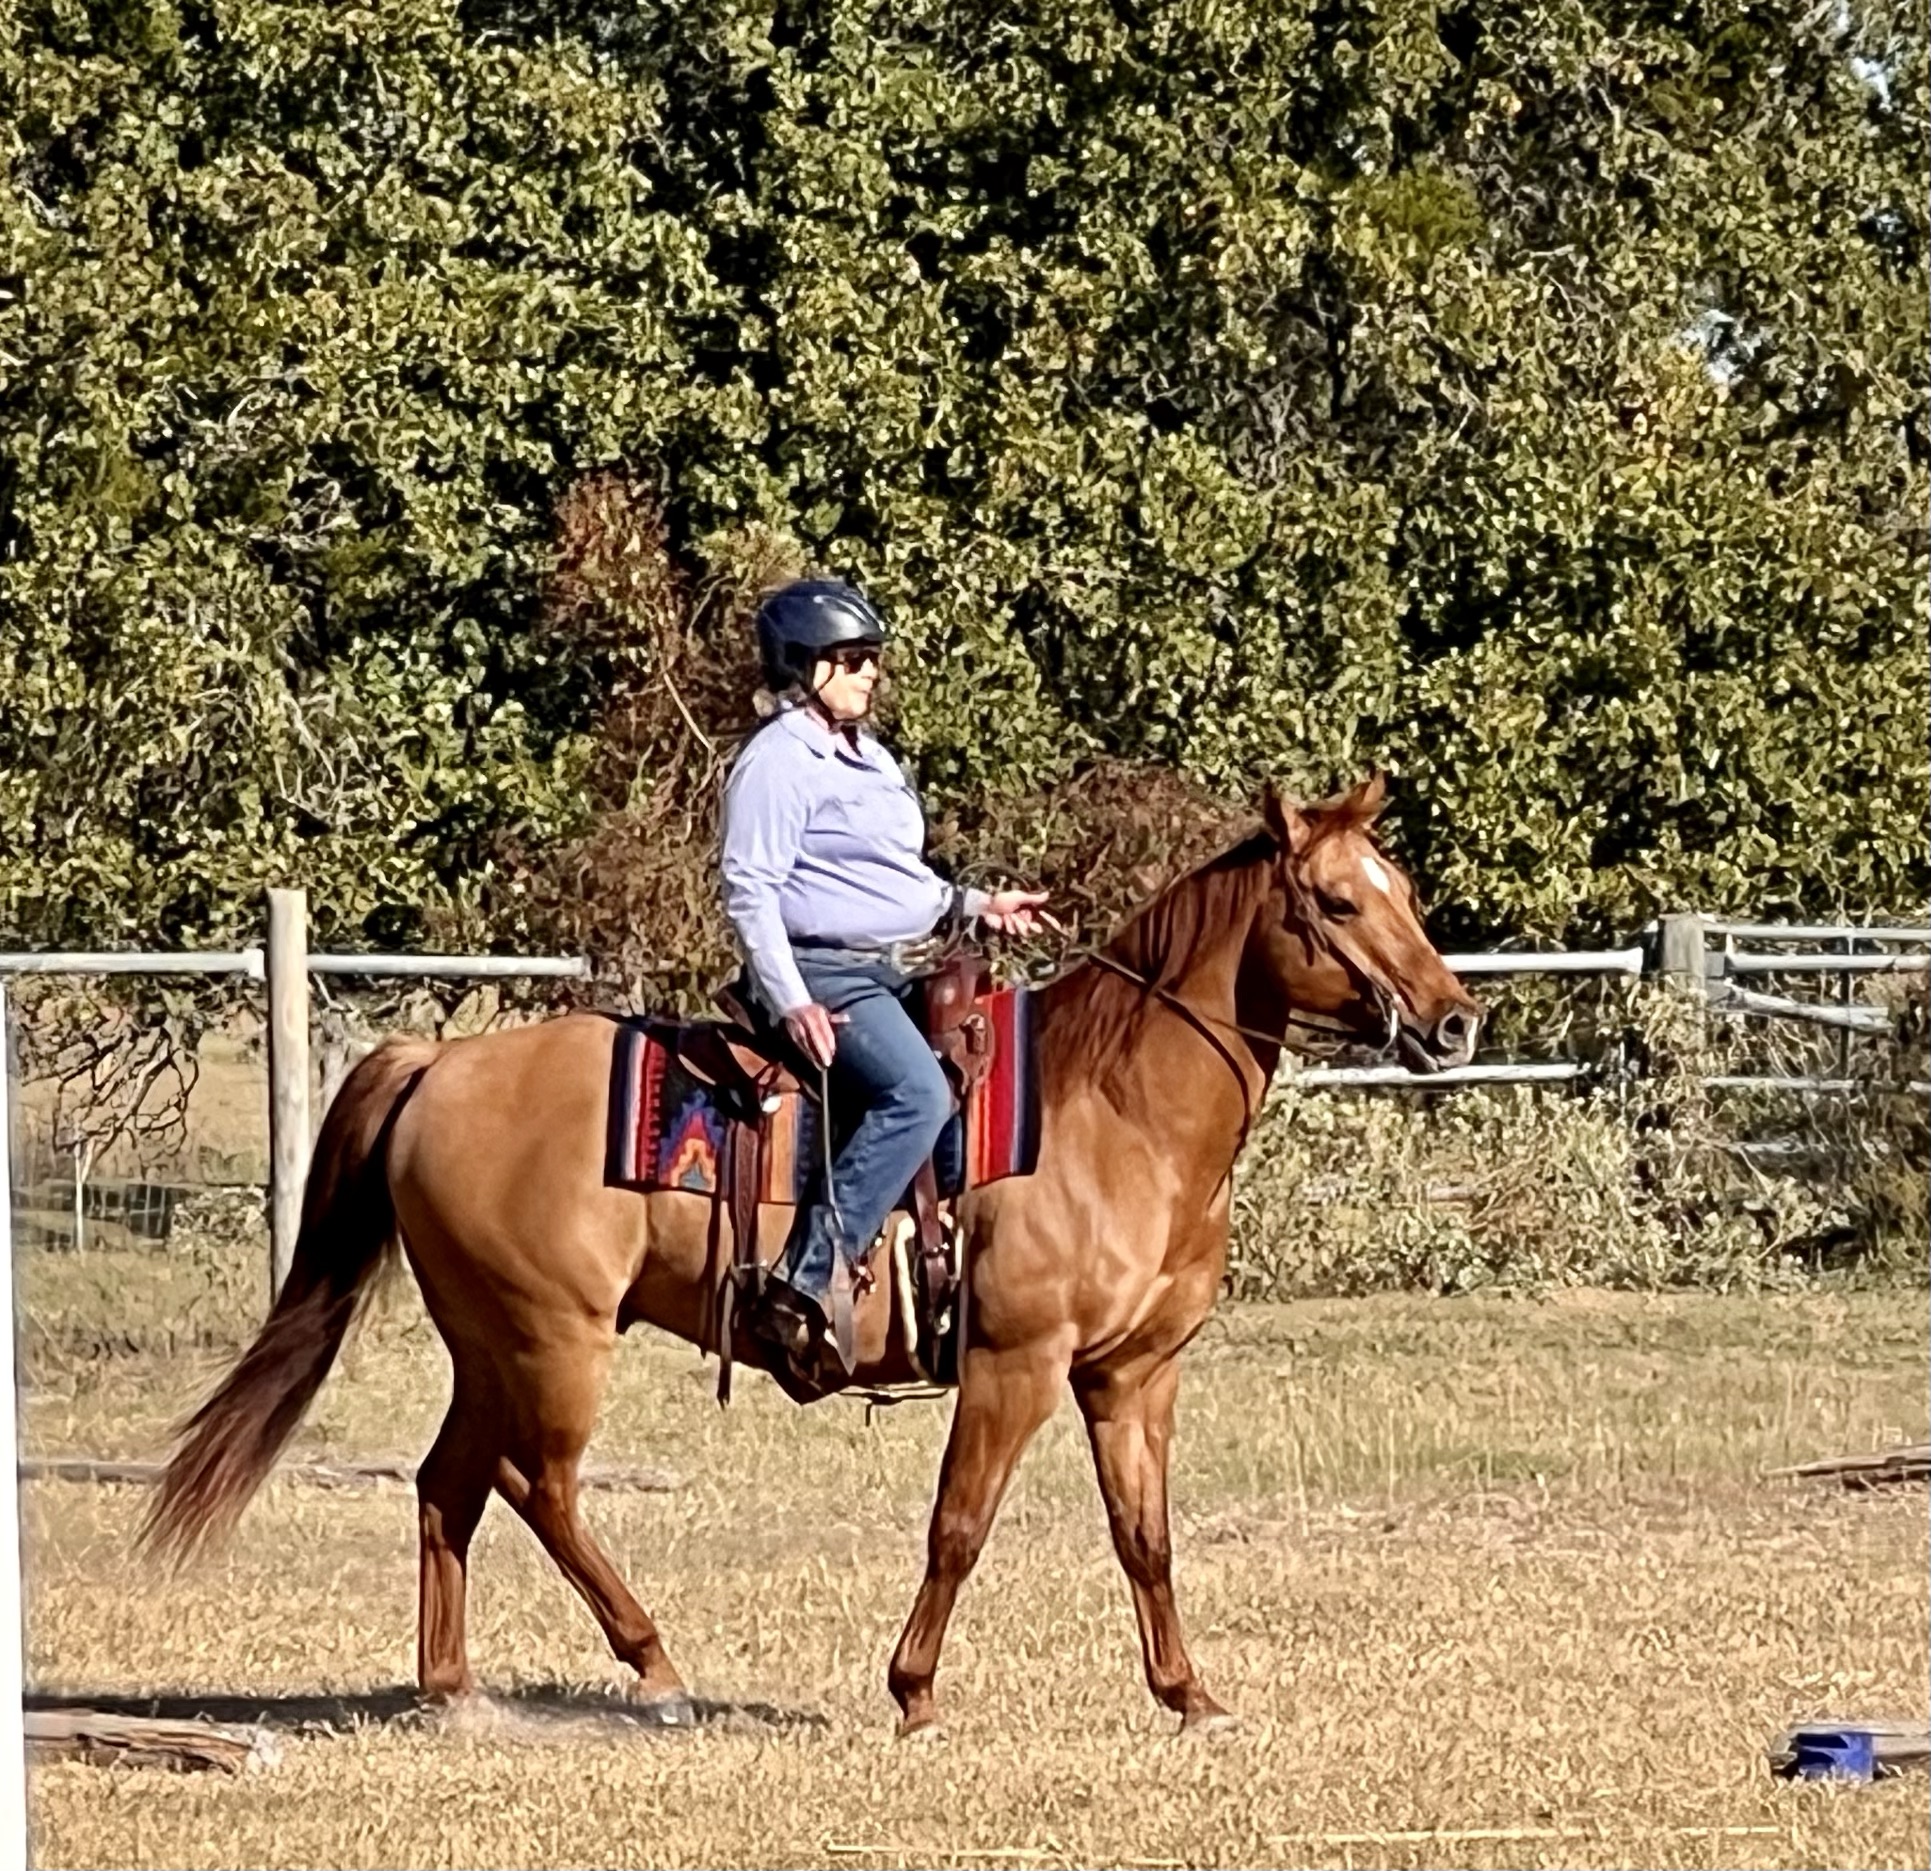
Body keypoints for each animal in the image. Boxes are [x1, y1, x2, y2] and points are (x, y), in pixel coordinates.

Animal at [146, 775, 1480, 1735]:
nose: (1455, 1020)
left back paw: (456, 1690)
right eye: (1340, 903)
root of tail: (440, 1062)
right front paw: (914, 1692)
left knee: (448, 1485)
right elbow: (959, 1522)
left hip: (489, 1342)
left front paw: (1188, 1695)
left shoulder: (1131, 1373)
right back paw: (653, 1662)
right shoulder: (1013, 1362)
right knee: (541, 1484)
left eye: (1401, 887)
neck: (1118, 1110)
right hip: (551, 1339)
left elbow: (1144, 1535)